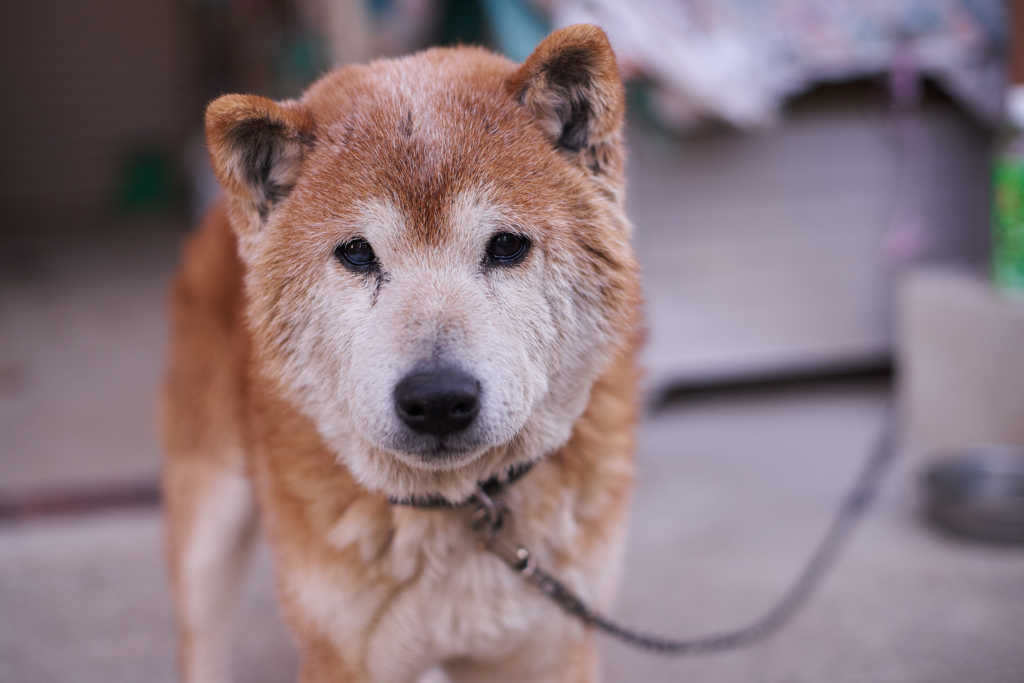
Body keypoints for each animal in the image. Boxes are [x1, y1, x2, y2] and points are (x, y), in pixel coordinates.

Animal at [159, 24, 638, 683]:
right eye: (358, 253)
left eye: (506, 246)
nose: (437, 400)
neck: (462, 509)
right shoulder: (340, 652)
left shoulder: (553, 643)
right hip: (209, 524)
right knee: (200, 636)